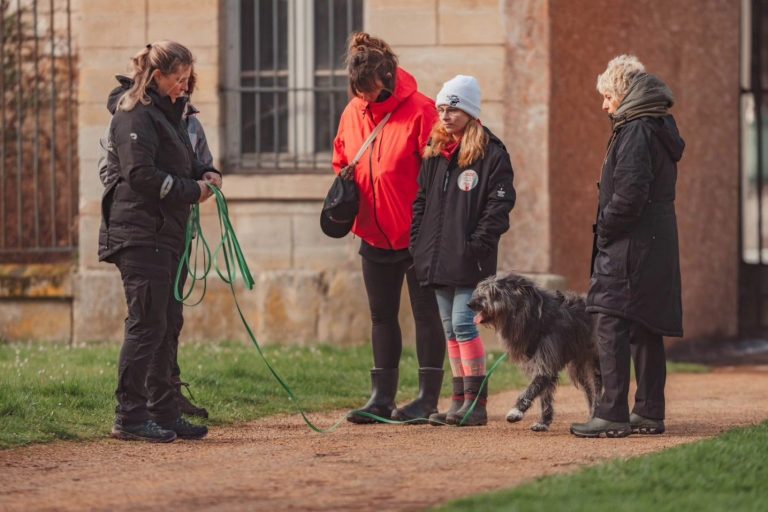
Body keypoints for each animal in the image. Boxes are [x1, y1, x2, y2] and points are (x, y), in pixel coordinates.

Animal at [468, 273, 601, 432]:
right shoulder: (540, 363)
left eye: (495, 292)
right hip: (580, 368)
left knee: (598, 388)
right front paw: (543, 422)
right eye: (481, 289)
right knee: (590, 390)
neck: (535, 318)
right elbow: (544, 396)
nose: (470, 304)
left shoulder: (546, 364)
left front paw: (516, 411)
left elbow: (532, 388)